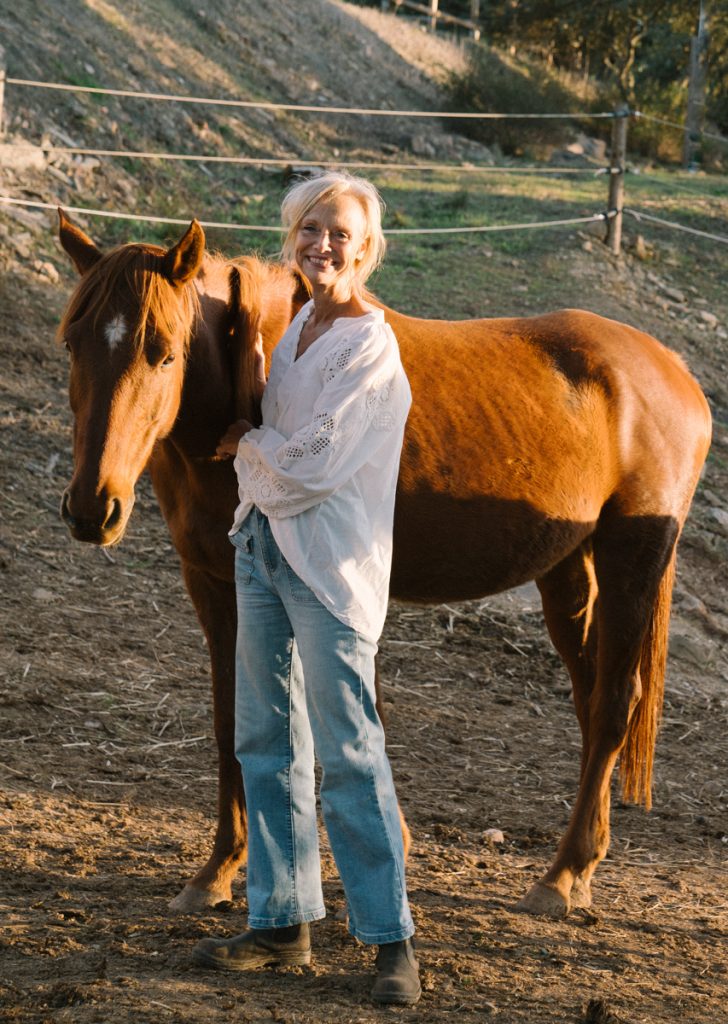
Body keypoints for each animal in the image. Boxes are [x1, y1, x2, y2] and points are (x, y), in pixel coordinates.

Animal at [56, 211, 711, 920]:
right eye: (73, 345)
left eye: (164, 352)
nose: (92, 508)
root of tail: (675, 372)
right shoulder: (215, 585)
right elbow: (235, 716)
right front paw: (219, 871)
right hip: (566, 570)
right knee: (592, 701)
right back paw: (582, 864)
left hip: (631, 560)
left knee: (616, 701)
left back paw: (560, 877)